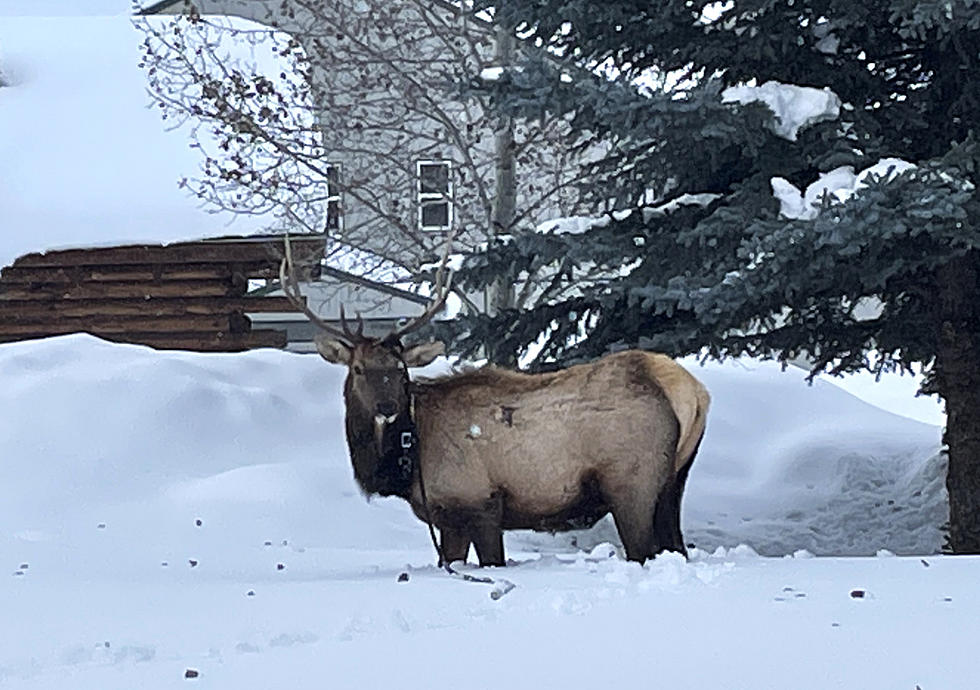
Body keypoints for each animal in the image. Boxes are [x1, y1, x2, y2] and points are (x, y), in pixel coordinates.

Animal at [280, 234, 708, 560]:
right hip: (674, 482)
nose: (386, 407)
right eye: (358, 369)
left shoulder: (479, 503)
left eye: (400, 370)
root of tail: (689, 391)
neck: (408, 462)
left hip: (631, 484)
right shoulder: (448, 518)